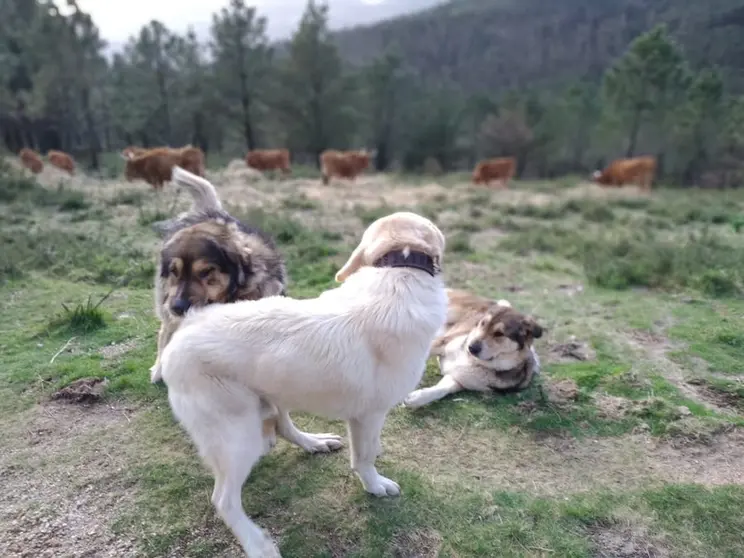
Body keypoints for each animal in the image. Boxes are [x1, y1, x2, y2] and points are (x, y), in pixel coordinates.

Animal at [148, 166, 284, 384]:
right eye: (174, 271)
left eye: (205, 272)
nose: (177, 307)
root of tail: (209, 213)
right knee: (165, 333)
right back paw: (159, 368)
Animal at [404, 290, 544, 410]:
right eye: (482, 323)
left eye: (499, 334)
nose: (470, 347)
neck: (472, 360)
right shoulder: (441, 343)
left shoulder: (459, 379)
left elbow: (441, 390)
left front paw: (416, 398)